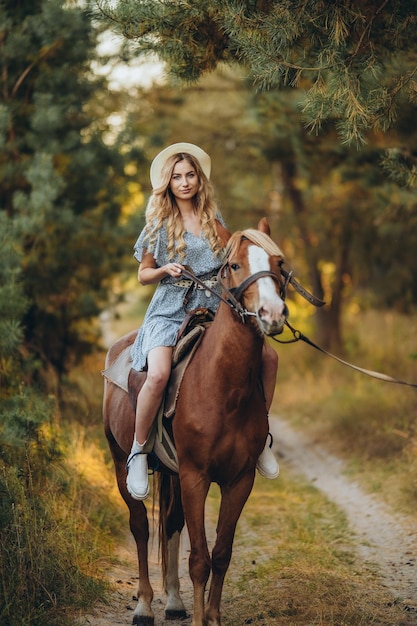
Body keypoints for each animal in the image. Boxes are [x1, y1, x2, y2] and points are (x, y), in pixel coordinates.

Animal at [102, 217, 288, 620]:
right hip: (120, 460)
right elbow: (199, 559)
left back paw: (173, 601)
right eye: (234, 265)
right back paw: (144, 606)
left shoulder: (239, 481)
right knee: (141, 527)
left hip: (172, 472)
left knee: (171, 524)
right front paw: (202, 619)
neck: (223, 389)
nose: (272, 314)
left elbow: (221, 554)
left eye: (279, 263)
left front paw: (213, 617)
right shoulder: (195, 477)